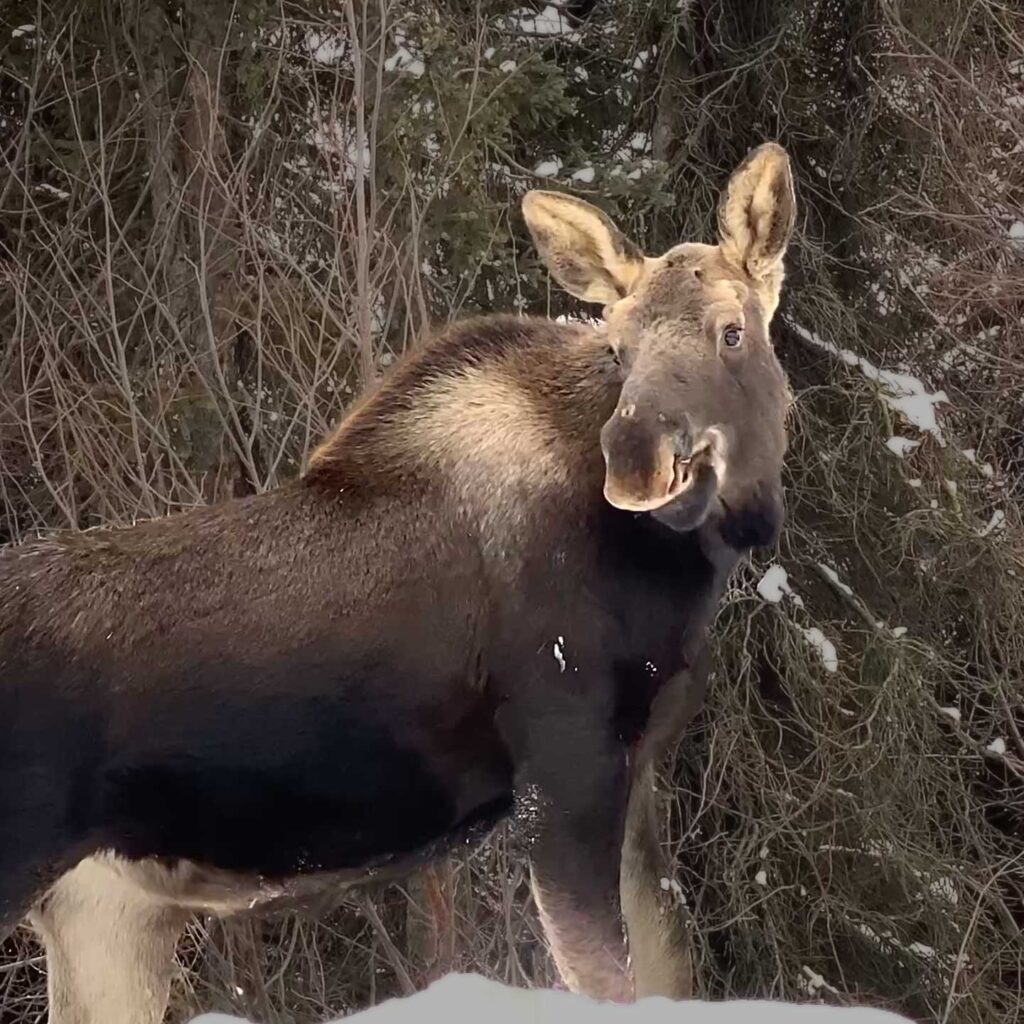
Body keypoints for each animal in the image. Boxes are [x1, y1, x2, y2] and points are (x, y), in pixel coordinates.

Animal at [0, 142, 796, 1024]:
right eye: (618, 350)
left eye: (732, 331)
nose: (635, 458)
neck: (679, 574)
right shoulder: (566, 757)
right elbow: (605, 976)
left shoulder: (640, 760)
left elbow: (667, 965)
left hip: (104, 913)